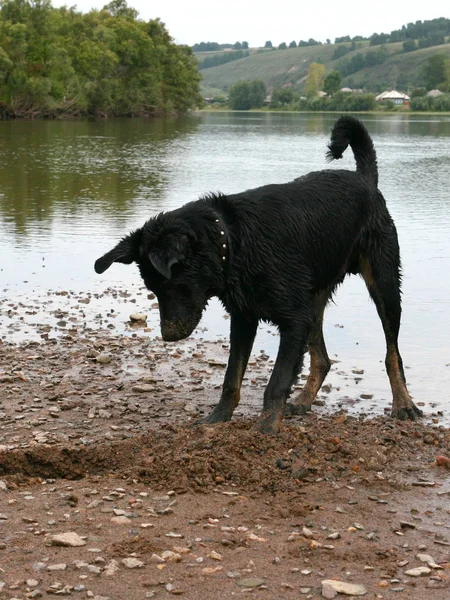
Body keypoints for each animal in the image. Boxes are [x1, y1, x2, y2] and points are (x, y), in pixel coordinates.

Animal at [94, 117, 422, 434]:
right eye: (153, 289)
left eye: (173, 285)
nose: (168, 336)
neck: (234, 243)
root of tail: (365, 179)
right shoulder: (244, 318)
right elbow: (231, 378)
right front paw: (218, 419)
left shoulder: (293, 321)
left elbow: (276, 384)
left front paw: (265, 429)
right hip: (314, 299)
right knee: (322, 359)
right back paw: (304, 400)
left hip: (384, 283)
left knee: (392, 354)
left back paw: (404, 403)